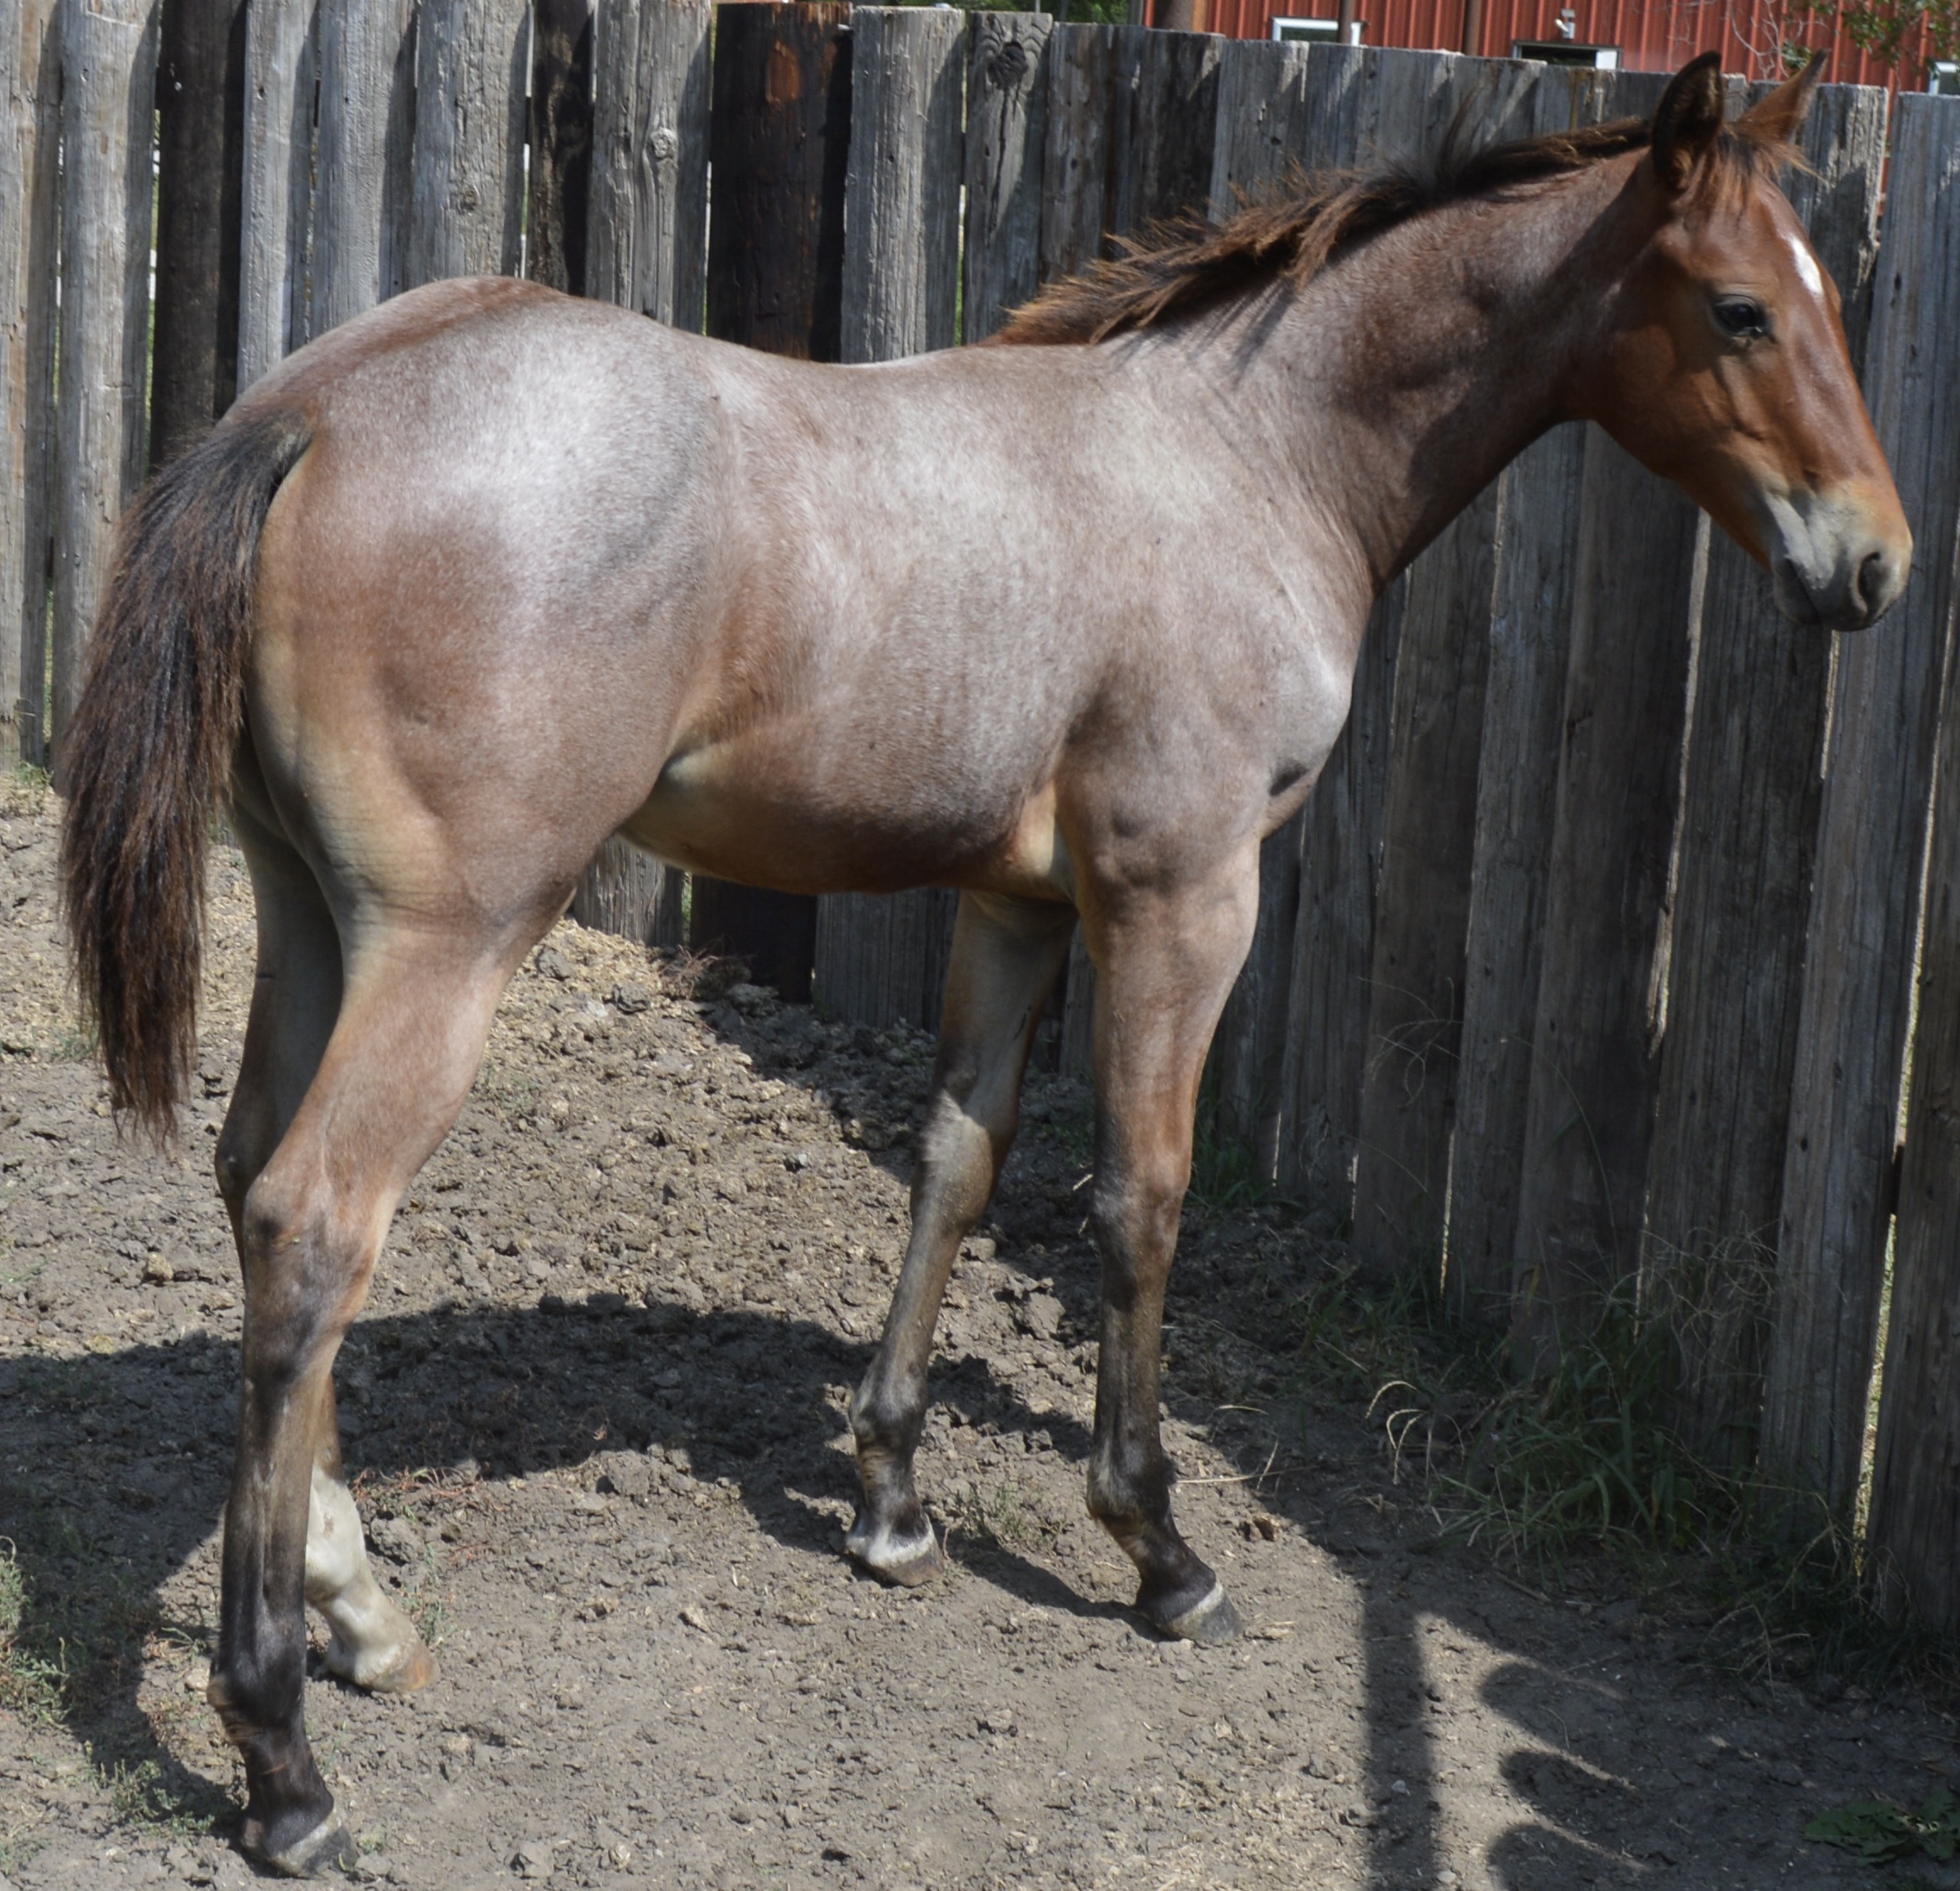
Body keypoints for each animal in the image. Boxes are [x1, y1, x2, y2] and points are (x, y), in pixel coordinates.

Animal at [59, 51, 1907, 1874]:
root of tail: (312, 407)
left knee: (249, 1182)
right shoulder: (1179, 891)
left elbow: (955, 1156)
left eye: (1827, 301)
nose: (1873, 561)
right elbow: (1140, 1199)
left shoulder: (1016, 904)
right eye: (1739, 308)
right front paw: (1156, 1547)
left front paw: (888, 1500)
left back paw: (358, 1607)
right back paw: (282, 1756)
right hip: (449, 945)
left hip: (313, 916)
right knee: (315, 1227)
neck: (1243, 455)